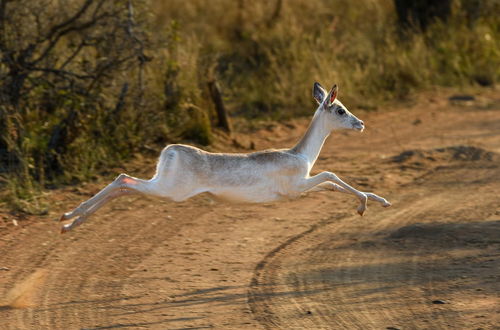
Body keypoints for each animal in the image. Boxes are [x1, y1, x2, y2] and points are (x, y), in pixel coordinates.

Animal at [60, 82, 390, 232]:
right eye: (340, 110)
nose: (360, 123)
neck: (300, 156)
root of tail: (170, 150)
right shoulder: (298, 185)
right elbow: (332, 175)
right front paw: (363, 206)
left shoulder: (303, 188)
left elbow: (333, 184)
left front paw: (381, 201)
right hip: (168, 191)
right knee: (122, 179)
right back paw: (68, 218)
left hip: (160, 185)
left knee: (122, 185)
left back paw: (68, 221)